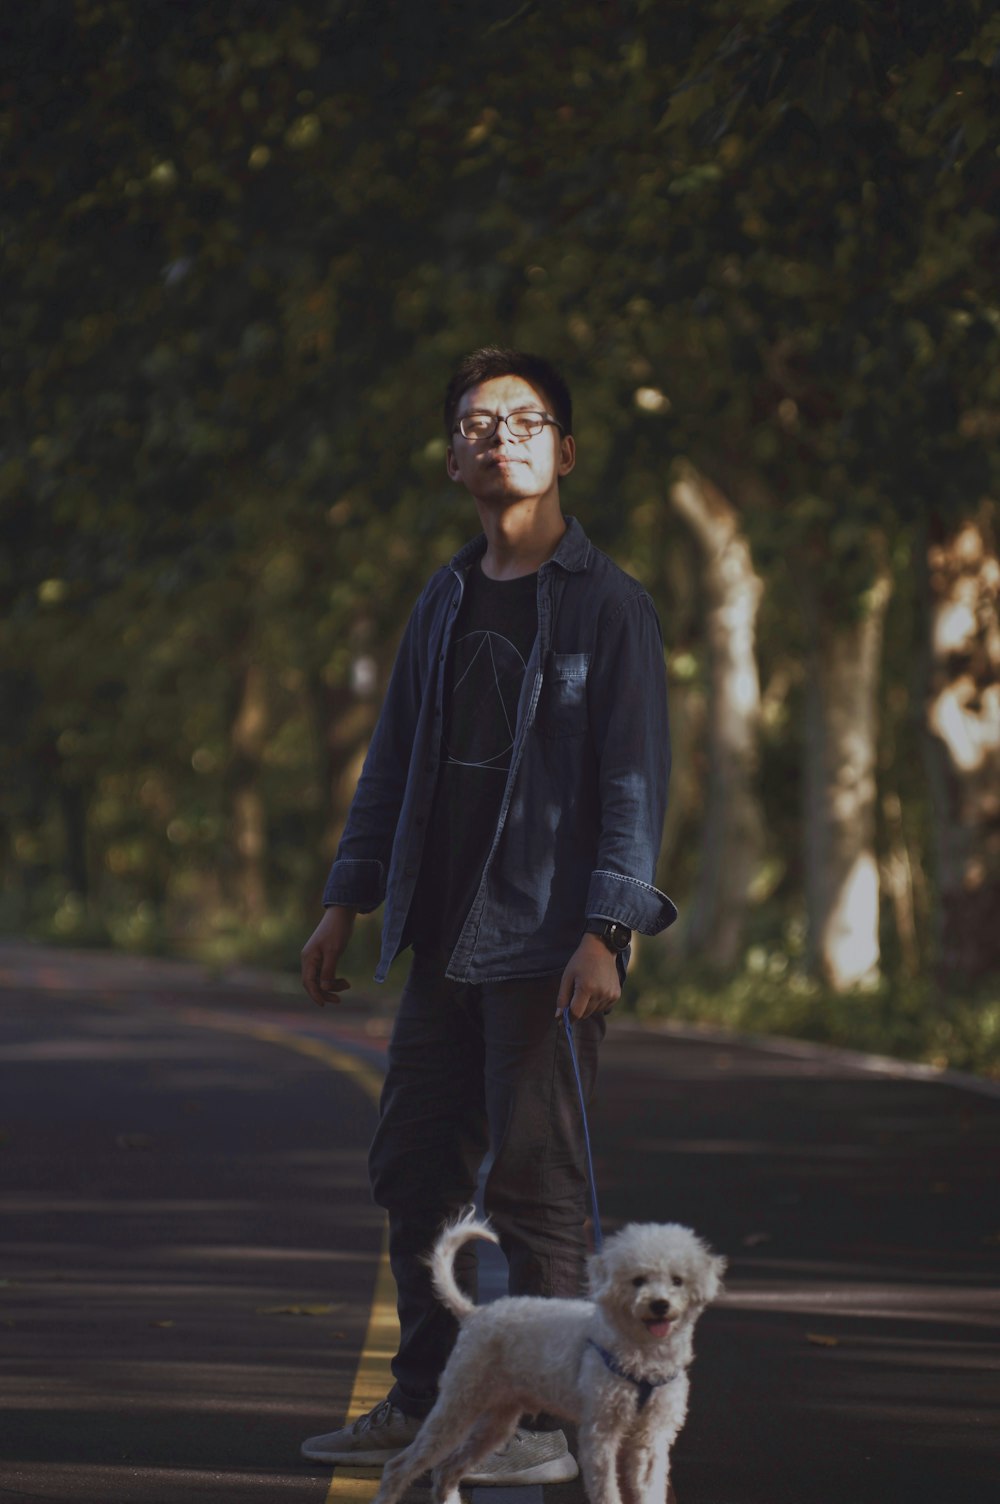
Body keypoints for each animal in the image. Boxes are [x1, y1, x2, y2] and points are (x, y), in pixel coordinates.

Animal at [369, 1209, 721, 1504]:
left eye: (677, 1280)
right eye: (638, 1281)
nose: (660, 1305)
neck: (643, 1357)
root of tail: (474, 1314)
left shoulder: (651, 1440)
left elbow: (651, 1490)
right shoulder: (600, 1437)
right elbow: (607, 1492)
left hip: (495, 1422)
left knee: (445, 1471)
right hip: (457, 1408)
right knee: (399, 1467)